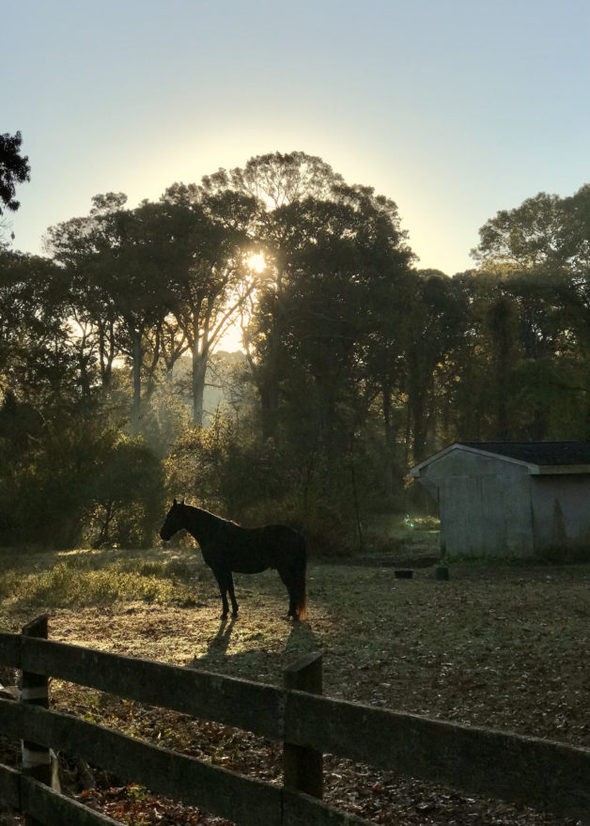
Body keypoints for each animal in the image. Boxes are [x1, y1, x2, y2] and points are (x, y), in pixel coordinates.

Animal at [161, 498, 310, 620]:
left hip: (284, 569)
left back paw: (291, 614)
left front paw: (224, 613)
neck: (213, 533)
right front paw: (234, 611)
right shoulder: (226, 570)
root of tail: (298, 535)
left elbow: (223, 589)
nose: (162, 534)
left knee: (292, 589)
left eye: (171, 516)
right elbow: (230, 588)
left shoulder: (218, 569)